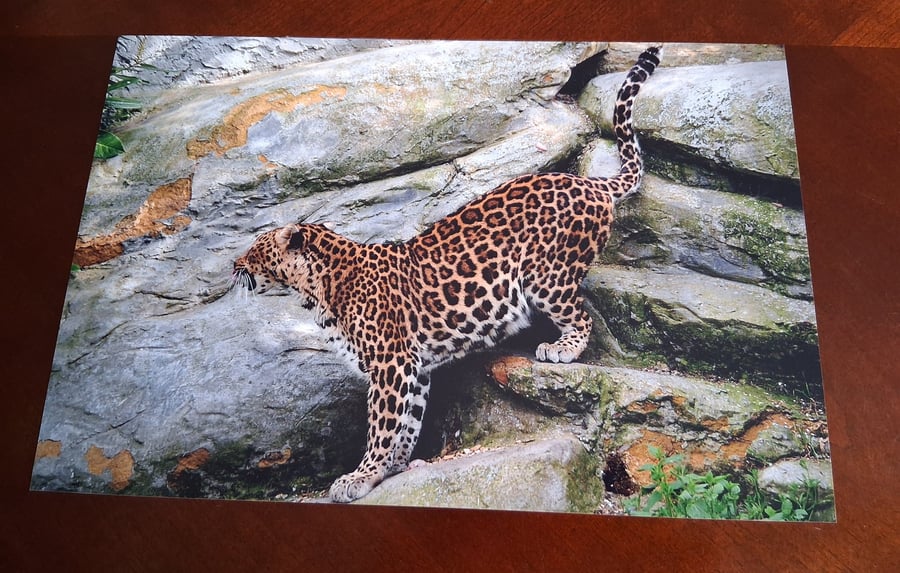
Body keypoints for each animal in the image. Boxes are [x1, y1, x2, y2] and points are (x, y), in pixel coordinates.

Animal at [232, 46, 661, 502]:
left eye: (255, 249)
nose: (234, 266)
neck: (319, 287)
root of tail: (592, 184)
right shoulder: (413, 367)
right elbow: (406, 422)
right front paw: (392, 467)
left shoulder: (390, 362)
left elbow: (380, 425)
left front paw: (360, 477)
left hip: (546, 276)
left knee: (581, 317)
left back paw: (562, 348)